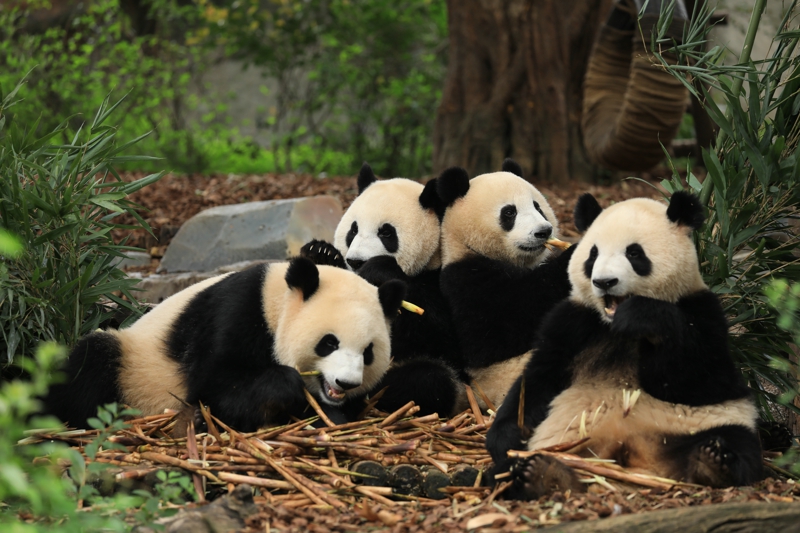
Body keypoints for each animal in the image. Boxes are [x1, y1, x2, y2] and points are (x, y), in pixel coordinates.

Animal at [302, 161, 466, 416]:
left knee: (431, 379)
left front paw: (378, 269)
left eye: (386, 232)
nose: (356, 261)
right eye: (353, 230)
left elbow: (445, 335)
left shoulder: (441, 275)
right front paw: (321, 252)